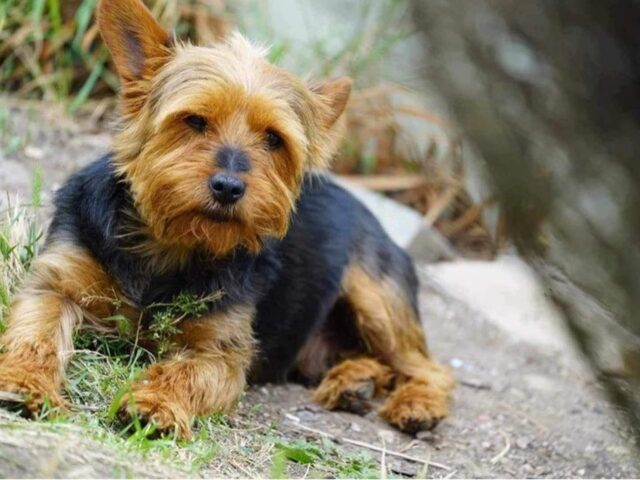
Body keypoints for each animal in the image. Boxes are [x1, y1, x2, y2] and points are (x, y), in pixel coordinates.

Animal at [0, 0, 456, 438]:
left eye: (273, 138)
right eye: (194, 120)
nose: (229, 187)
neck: (171, 242)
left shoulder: (221, 350)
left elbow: (186, 373)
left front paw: (155, 405)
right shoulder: (57, 281)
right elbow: (36, 332)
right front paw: (24, 382)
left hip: (375, 295)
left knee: (430, 369)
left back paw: (415, 404)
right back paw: (354, 383)